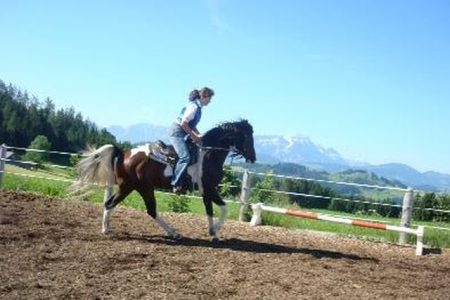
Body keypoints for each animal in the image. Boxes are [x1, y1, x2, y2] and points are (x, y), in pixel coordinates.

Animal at [73, 119, 256, 241]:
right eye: (248, 137)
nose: (253, 157)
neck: (208, 154)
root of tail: (124, 153)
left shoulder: (206, 191)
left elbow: (210, 210)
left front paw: (213, 233)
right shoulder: (210, 188)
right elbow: (224, 208)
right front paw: (215, 230)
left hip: (130, 187)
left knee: (111, 204)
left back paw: (108, 228)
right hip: (140, 188)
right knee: (146, 209)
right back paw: (173, 233)